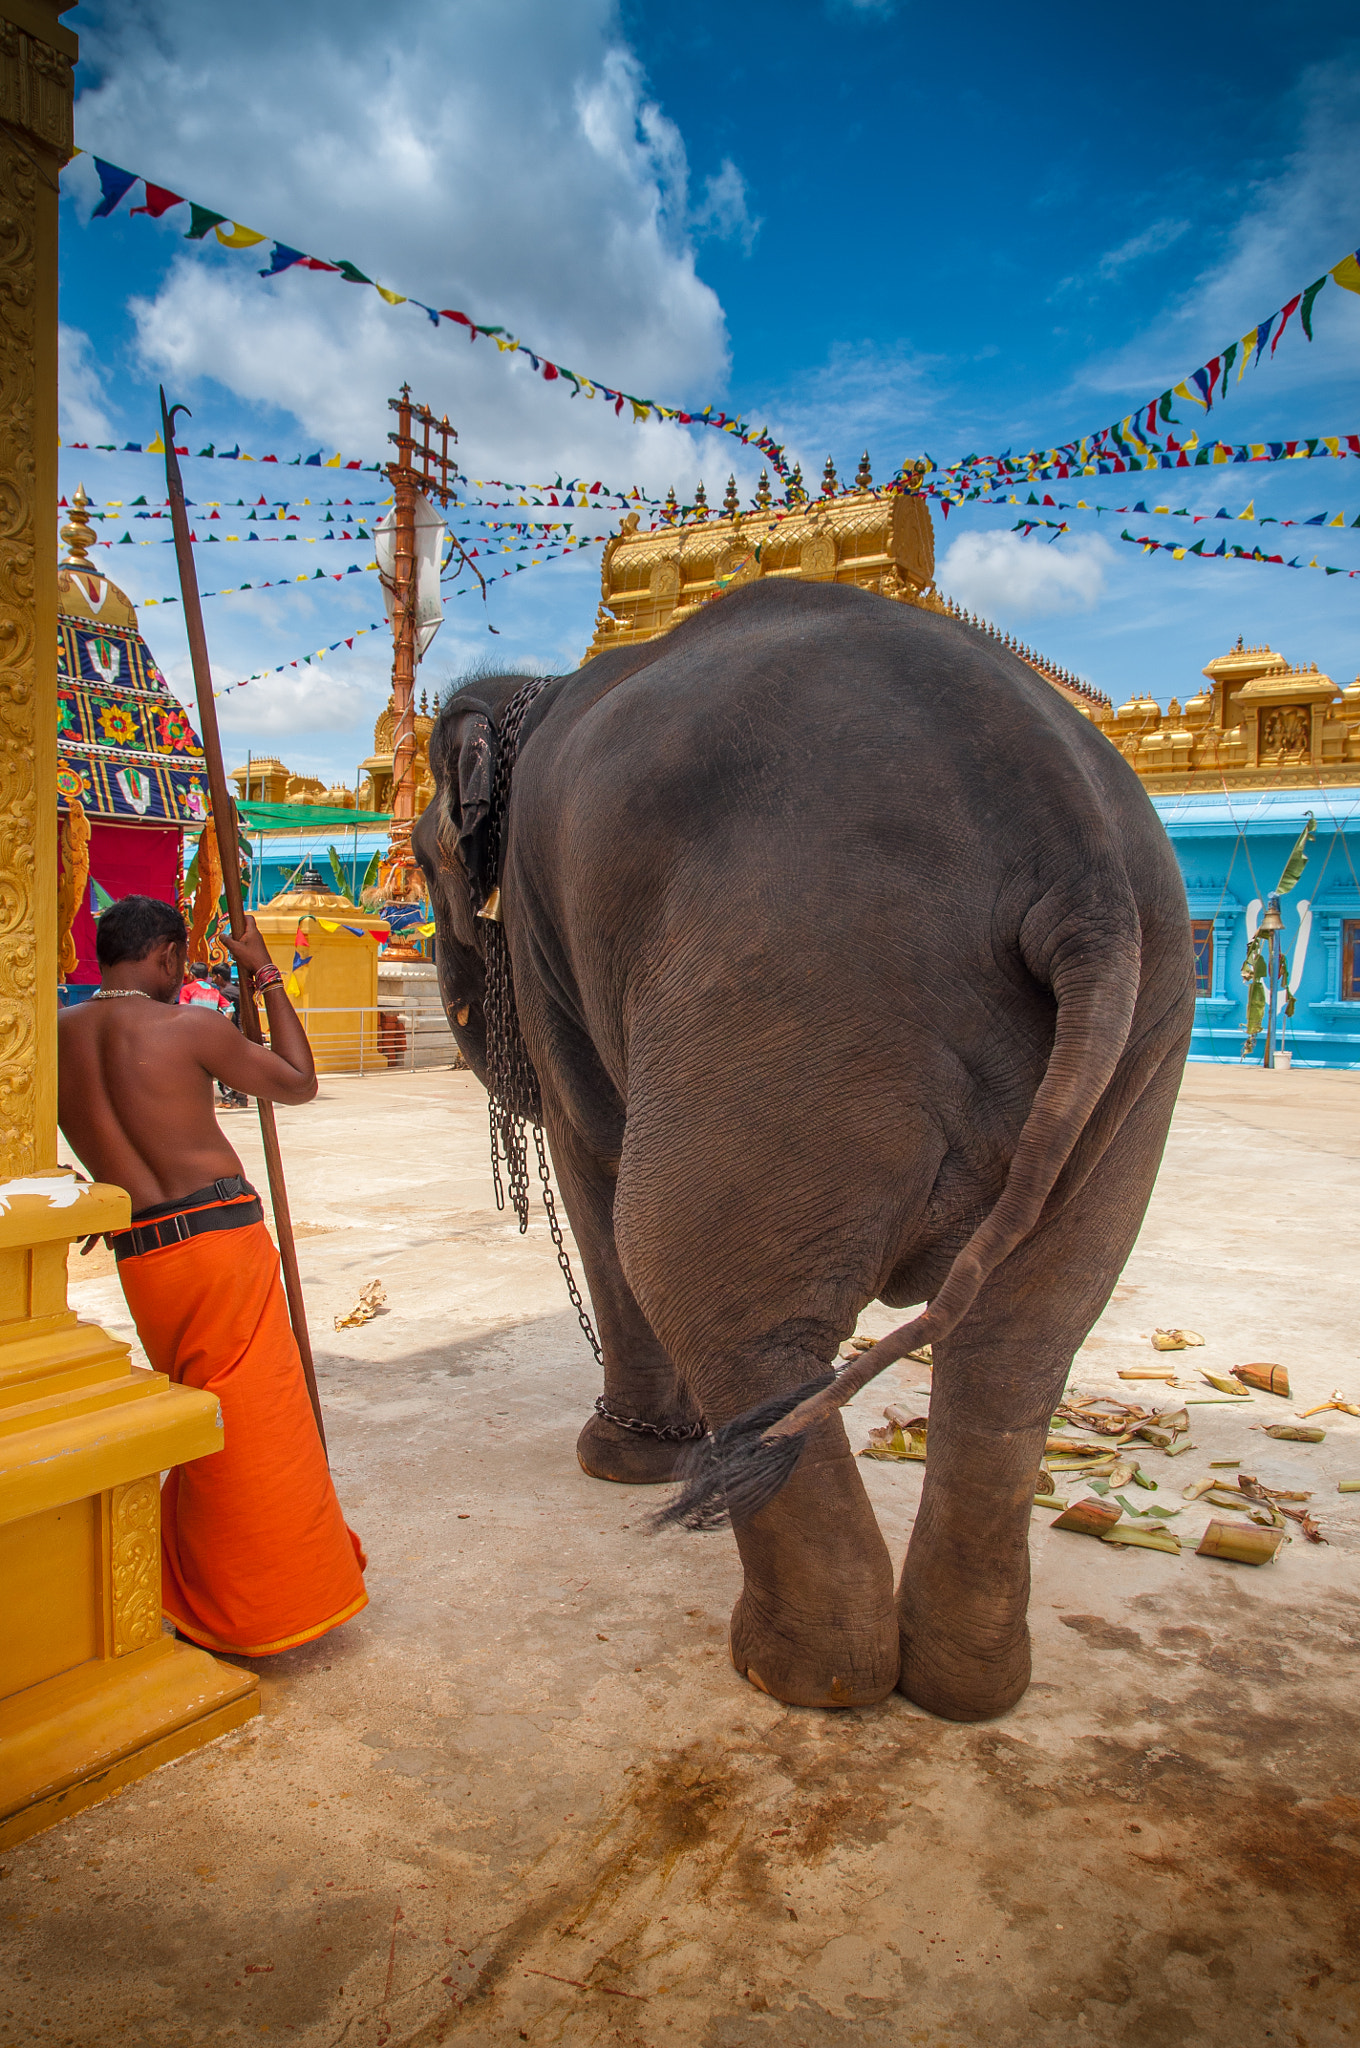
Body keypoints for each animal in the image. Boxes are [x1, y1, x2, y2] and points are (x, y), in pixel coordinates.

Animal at [413, 577, 1194, 1723]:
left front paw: (622, 1463)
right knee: (1022, 1340)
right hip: (1145, 1028)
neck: (540, 687)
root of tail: (1079, 860)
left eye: (428, 869)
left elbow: (590, 1155)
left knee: (702, 1275)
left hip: (795, 971)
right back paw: (962, 1687)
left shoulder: (554, 945)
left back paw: (798, 1673)